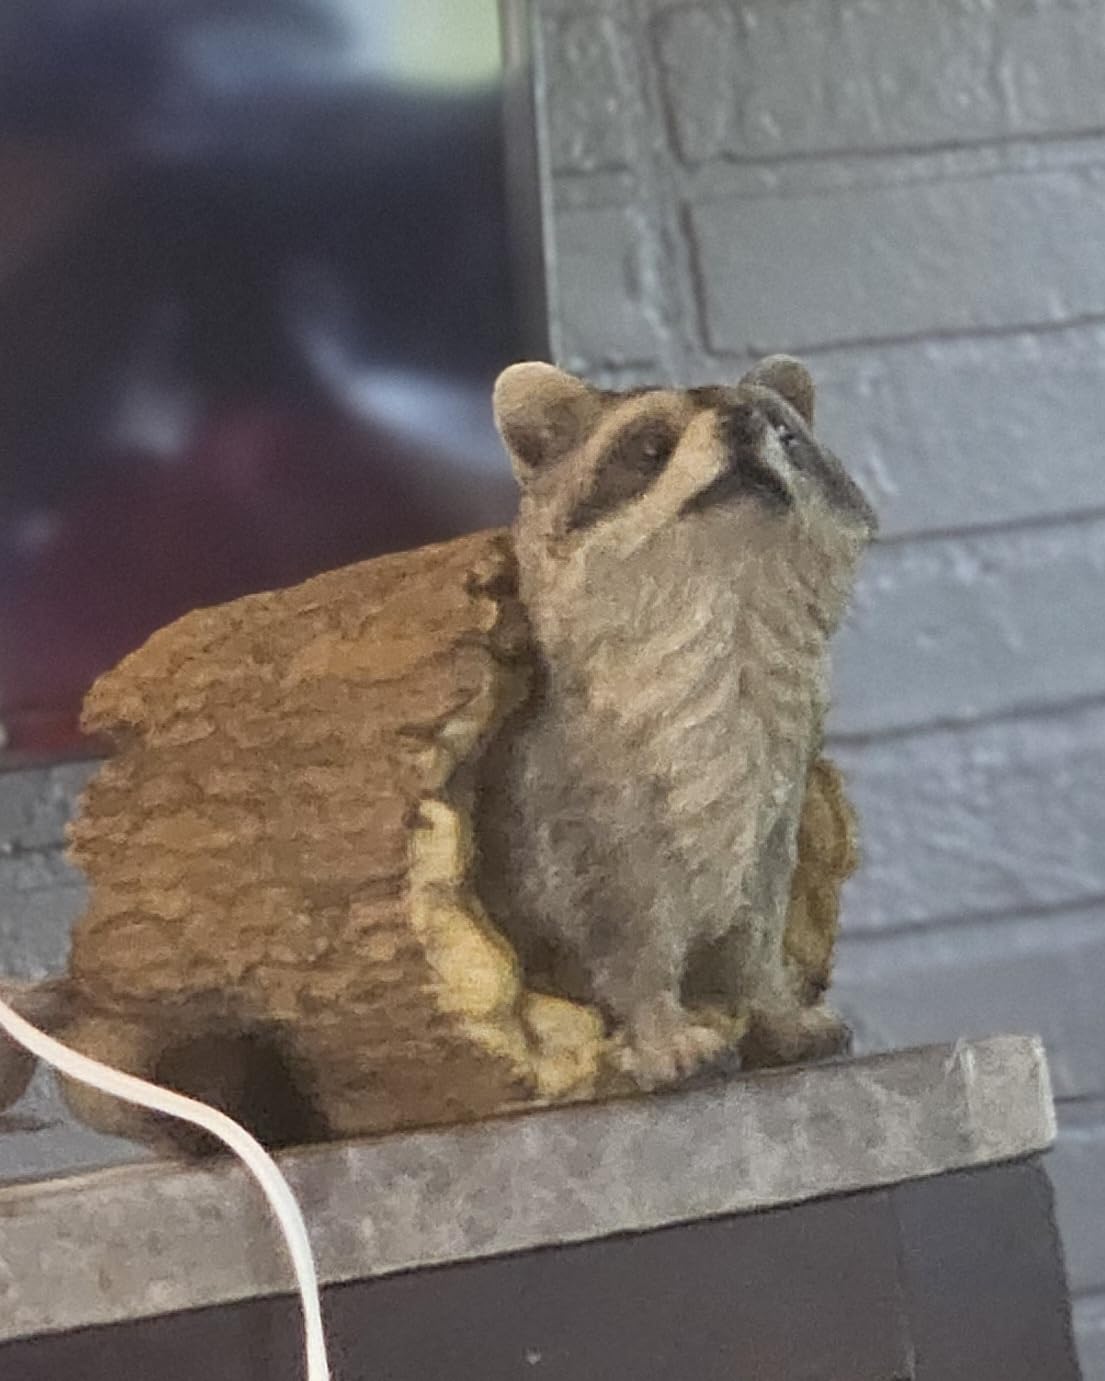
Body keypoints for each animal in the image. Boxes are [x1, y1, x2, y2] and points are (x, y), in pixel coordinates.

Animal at [474, 355, 876, 1087]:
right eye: (650, 447)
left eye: (784, 432)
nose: (743, 423)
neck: (722, 624)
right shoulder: (576, 809)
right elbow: (624, 943)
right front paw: (660, 1028)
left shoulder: (774, 808)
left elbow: (756, 927)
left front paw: (772, 1003)